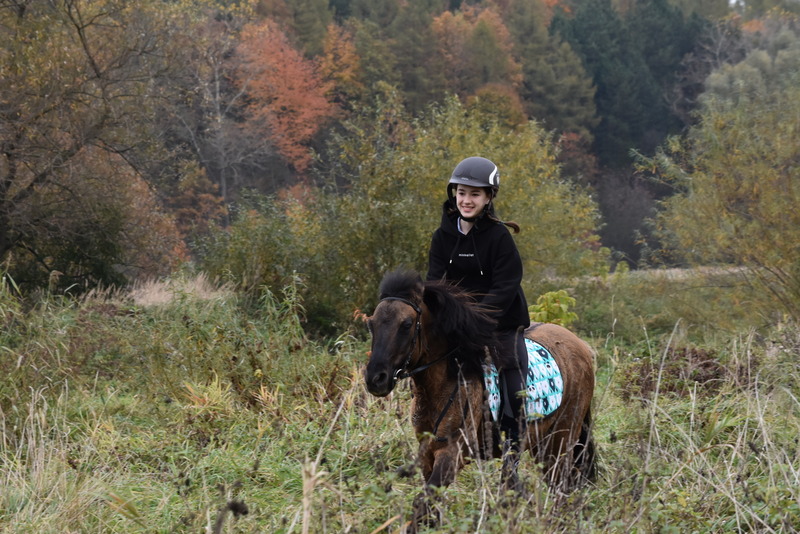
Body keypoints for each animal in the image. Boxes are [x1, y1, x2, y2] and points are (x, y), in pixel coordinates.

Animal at [364, 269, 596, 528]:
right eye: (372, 324)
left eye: (406, 324)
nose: (376, 379)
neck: (443, 382)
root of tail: (582, 346)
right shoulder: (427, 453)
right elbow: (428, 508)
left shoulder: (452, 452)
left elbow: (422, 502)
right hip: (542, 444)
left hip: (562, 438)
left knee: (561, 486)